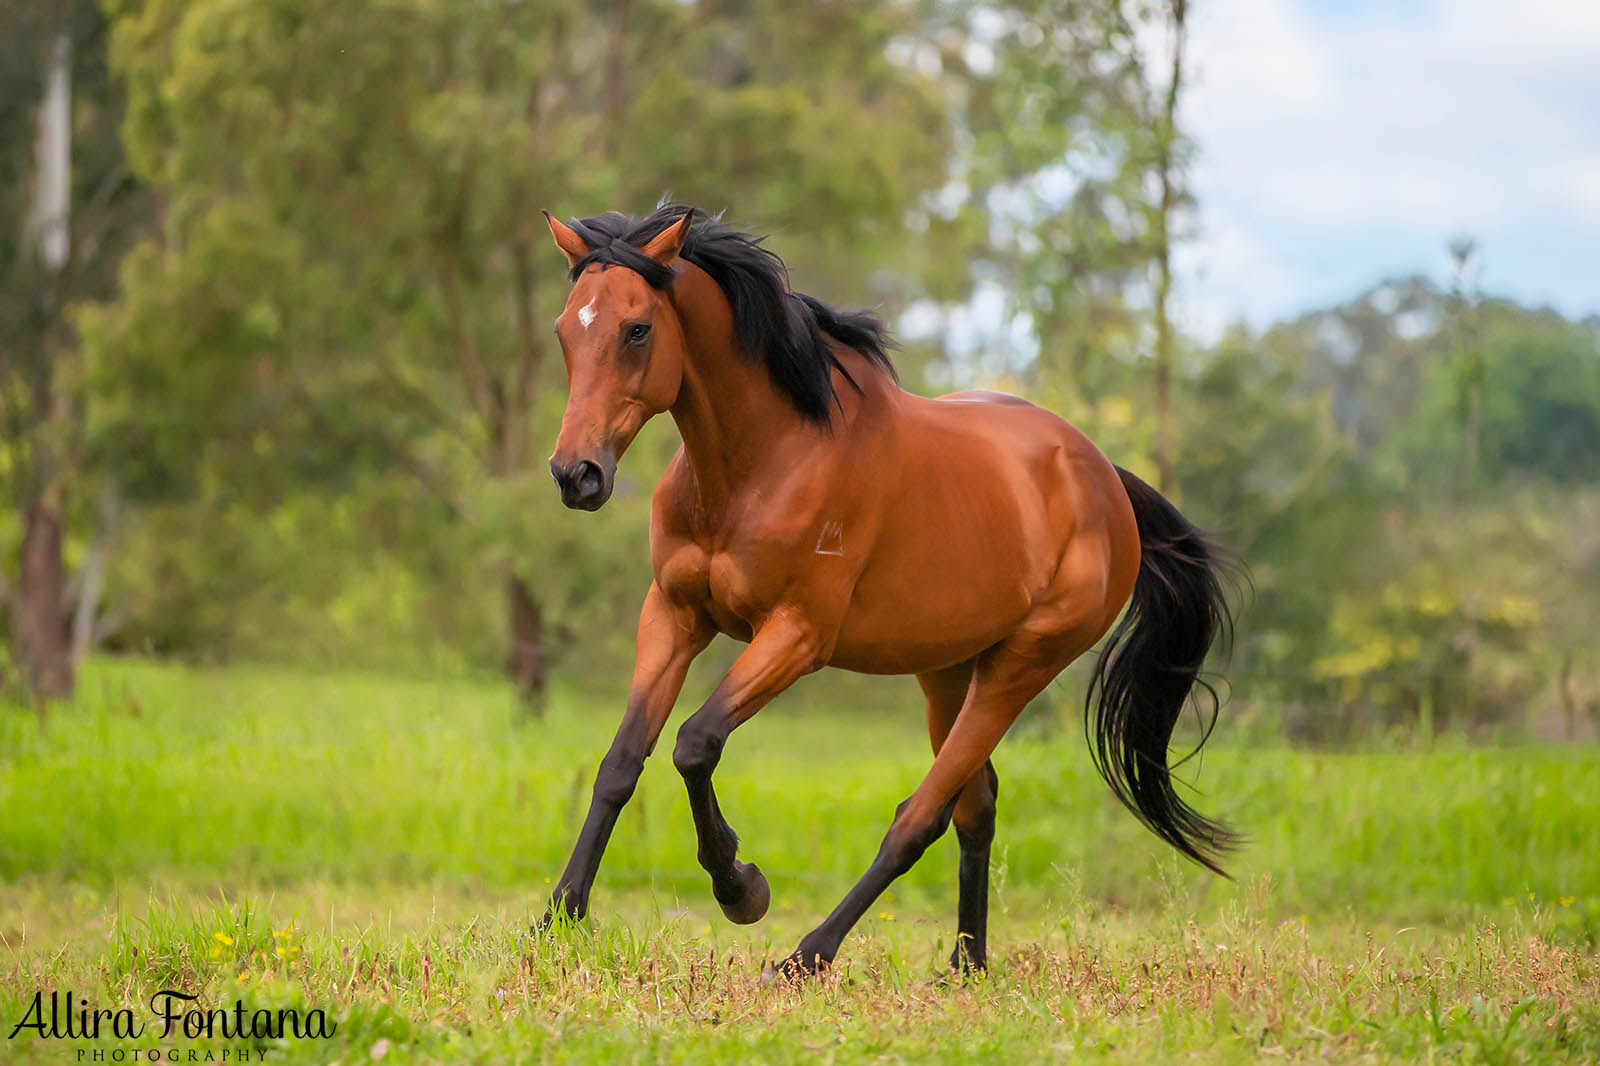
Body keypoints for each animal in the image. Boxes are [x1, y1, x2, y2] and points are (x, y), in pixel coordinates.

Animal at [537, 203, 1235, 973]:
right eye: (566, 329)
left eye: (638, 329)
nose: (577, 475)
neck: (763, 461)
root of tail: (1105, 478)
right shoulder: (674, 614)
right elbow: (621, 762)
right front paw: (560, 917)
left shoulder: (798, 635)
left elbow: (695, 743)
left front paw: (741, 888)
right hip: (947, 670)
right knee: (976, 807)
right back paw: (966, 967)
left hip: (1020, 666)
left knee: (920, 818)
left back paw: (807, 956)